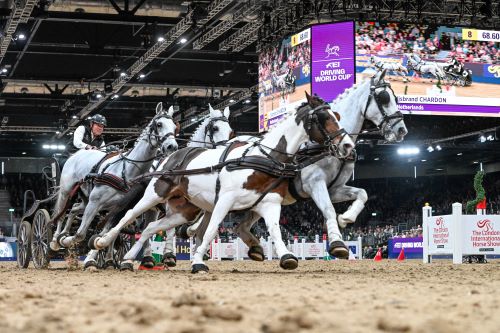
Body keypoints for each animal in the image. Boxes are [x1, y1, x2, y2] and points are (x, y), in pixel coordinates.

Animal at [50, 102, 179, 250]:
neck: (125, 171)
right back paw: (55, 239)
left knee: (74, 209)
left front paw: (99, 241)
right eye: (159, 124)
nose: (172, 146)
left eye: (174, 126)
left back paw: (64, 233)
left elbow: (107, 232)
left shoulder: (119, 208)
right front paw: (67, 240)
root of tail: (75, 156)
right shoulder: (94, 203)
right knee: (61, 213)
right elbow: (80, 235)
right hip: (67, 193)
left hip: (86, 199)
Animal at [91, 92, 356, 272]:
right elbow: (210, 231)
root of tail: (172, 155)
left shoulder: (270, 202)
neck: (262, 158)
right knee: (127, 217)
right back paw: (101, 243)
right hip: (155, 195)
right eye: (323, 117)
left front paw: (286, 256)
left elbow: (274, 230)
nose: (347, 145)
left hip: (184, 210)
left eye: (337, 116)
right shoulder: (224, 201)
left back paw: (129, 259)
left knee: (150, 228)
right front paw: (198, 261)